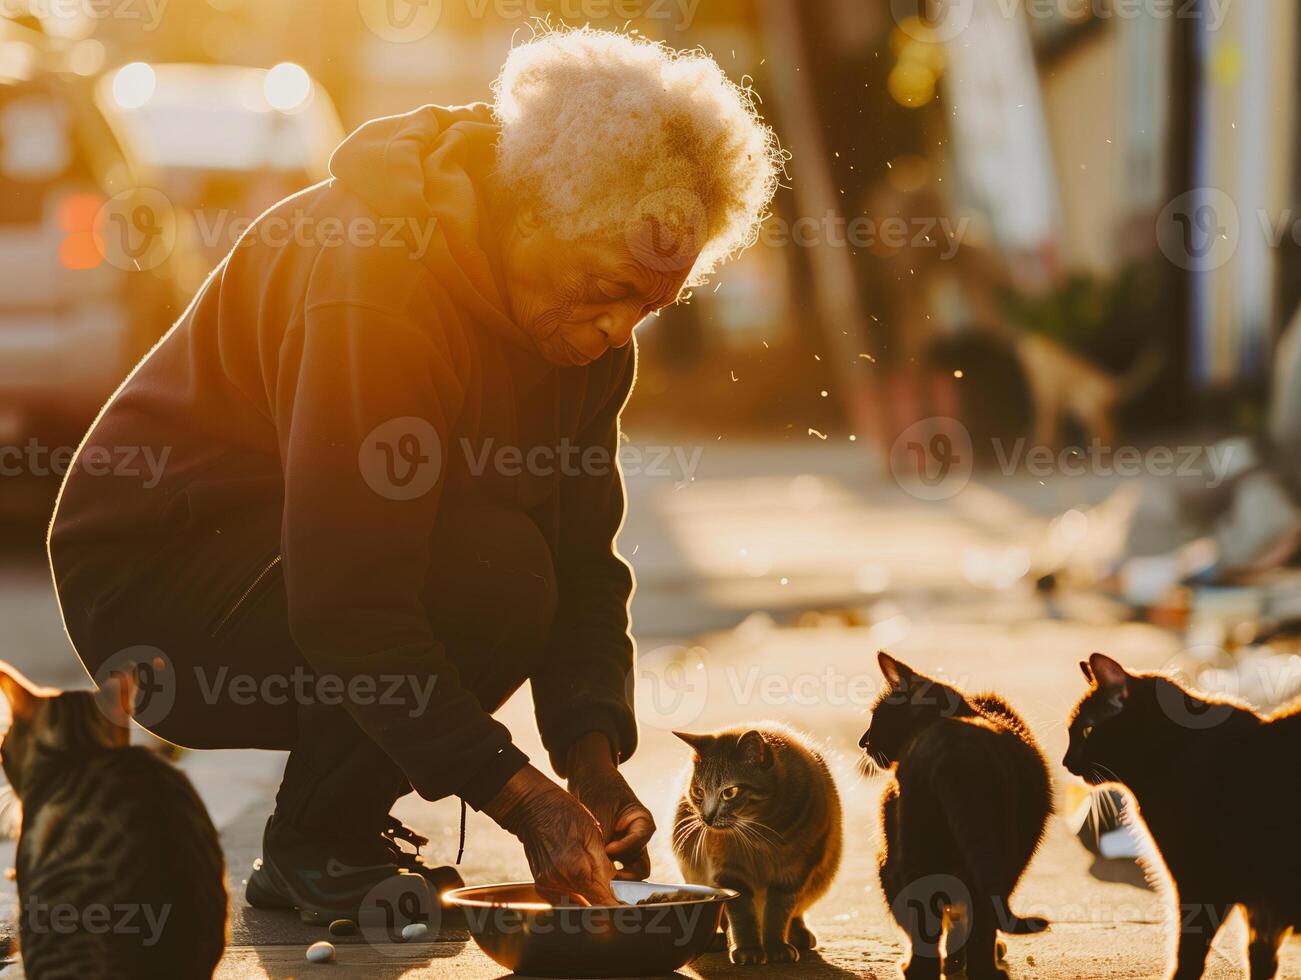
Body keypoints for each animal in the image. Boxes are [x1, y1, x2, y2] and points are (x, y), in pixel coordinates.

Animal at [671, 728, 843, 963]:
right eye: (698, 792)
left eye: (730, 792)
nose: (707, 818)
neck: (760, 833)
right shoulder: (729, 872)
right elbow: (741, 914)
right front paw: (749, 948)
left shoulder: (793, 871)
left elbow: (779, 911)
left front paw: (776, 946)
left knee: (797, 910)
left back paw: (798, 933)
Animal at [858, 650, 1051, 978]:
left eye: (876, 716)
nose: (863, 743)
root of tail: (957, 754)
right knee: (979, 925)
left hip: (899, 861)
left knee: (928, 943)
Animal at [1066, 650, 1301, 978]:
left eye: (1087, 729)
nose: (1064, 762)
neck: (1174, 750)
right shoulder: (1261, 912)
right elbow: (1260, 960)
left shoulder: (1202, 885)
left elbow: (1187, 955)